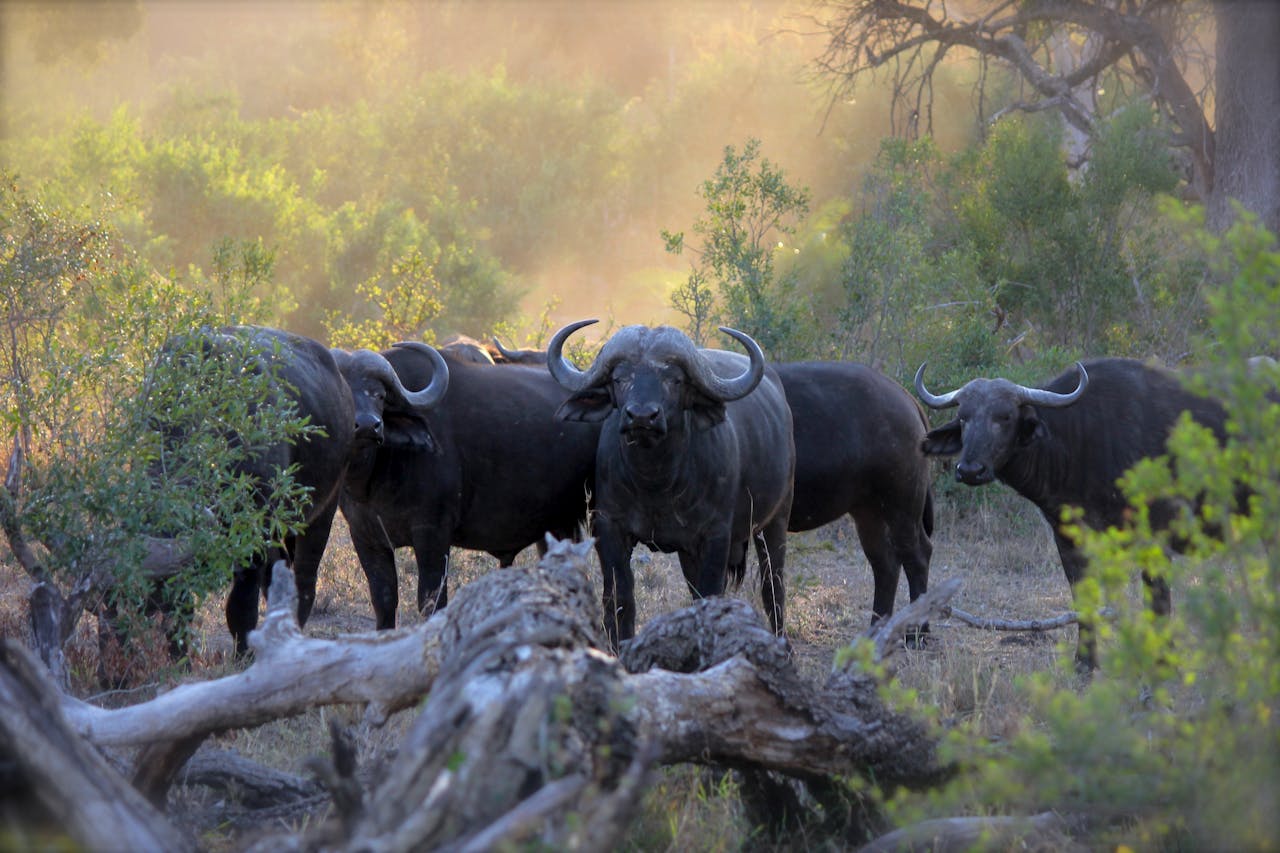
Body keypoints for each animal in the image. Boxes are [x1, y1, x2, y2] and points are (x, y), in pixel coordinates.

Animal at [334, 342, 599, 629]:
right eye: (344, 392)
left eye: (380, 395)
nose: (368, 426)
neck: (373, 480)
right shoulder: (365, 537)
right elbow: (383, 600)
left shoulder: (433, 533)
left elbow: (431, 600)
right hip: (557, 526)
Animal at [548, 320, 795, 648]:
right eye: (619, 378)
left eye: (674, 380)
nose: (642, 416)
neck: (657, 482)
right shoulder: (610, 528)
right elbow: (619, 598)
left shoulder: (716, 536)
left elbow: (710, 594)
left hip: (776, 519)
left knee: (773, 588)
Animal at [775, 362, 934, 626]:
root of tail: (906, 397)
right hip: (869, 512)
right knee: (886, 563)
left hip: (902, 506)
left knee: (917, 556)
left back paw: (917, 630)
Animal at [914, 357, 1230, 670]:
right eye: (963, 417)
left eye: (1004, 417)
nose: (969, 470)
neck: (1080, 441)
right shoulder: (1068, 539)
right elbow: (1083, 596)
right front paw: (1085, 660)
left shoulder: (1157, 536)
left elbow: (1158, 599)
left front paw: (1163, 660)